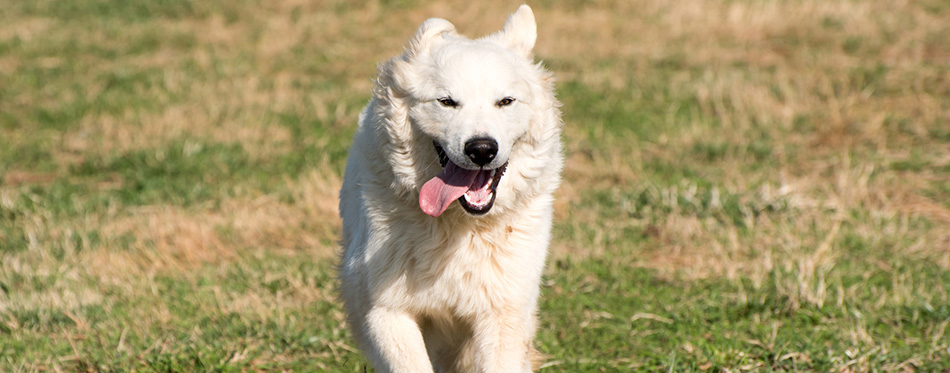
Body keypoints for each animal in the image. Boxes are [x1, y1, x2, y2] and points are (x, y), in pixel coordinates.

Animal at [338, 4, 560, 370]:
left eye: (505, 101)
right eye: (447, 102)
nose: (481, 149)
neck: (457, 227)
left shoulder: (502, 314)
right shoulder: (386, 313)